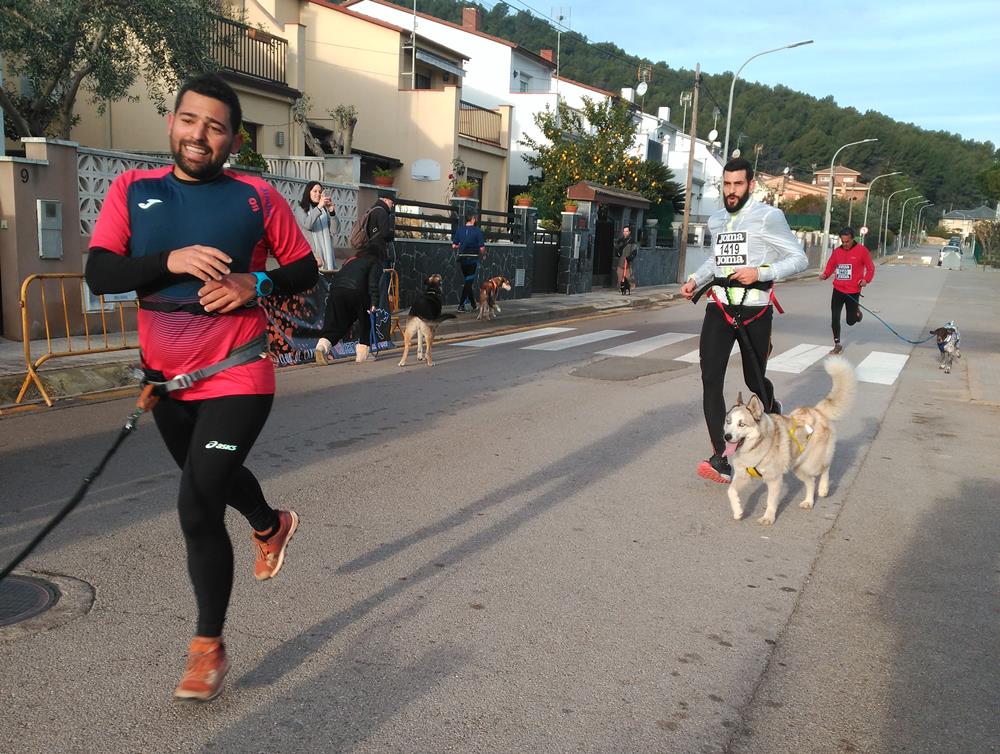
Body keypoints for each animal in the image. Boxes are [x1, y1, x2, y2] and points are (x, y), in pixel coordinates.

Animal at [721, 356, 856, 526]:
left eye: (742, 424)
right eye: (728, 422)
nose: (727, 437)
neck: (757, 446)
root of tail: (817, 410)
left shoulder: (774, 480)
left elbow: (771, 501)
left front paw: (768, 517)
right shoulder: (742, 475)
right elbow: (731, 491)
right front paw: (738, 511)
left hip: (812, 463)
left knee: (825, 468)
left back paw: (823, 489)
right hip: (798, 467)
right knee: (811, 481)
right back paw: (809, 502)